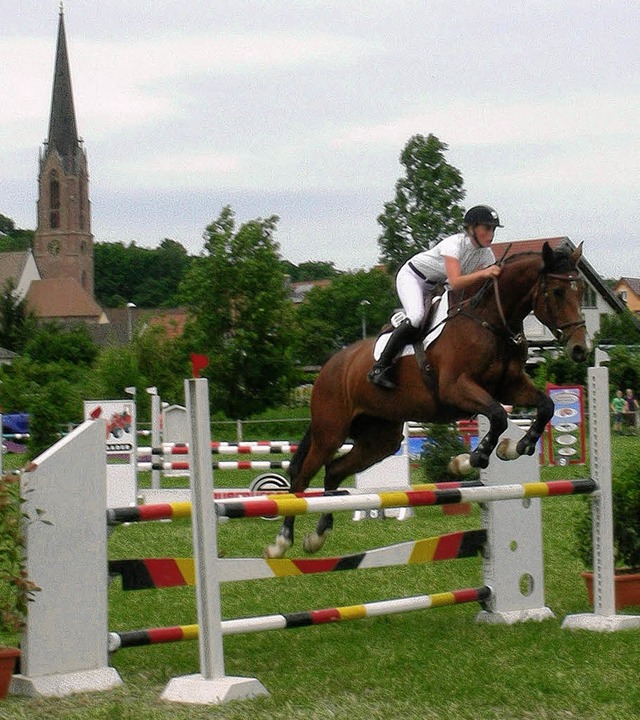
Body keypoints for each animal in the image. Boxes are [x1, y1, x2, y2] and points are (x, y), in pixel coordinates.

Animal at [266, 242, 592, 556]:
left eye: (581, 291)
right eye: (557, 291)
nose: (581, 349)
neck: (489, 320)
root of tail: (330, 366)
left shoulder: (508, 386)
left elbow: (545, 406)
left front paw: (516, 447)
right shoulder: (456, 388)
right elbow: (498, 416)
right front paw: (471, 460)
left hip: (380, 440)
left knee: (334, 471)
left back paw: (318, 535)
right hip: (330, 432)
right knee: (302, 479)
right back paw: (282, 541)